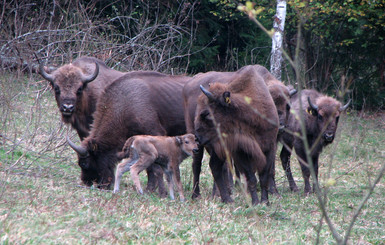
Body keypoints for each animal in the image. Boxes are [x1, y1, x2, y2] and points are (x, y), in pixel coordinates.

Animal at [183, 64, 294, 199]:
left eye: (288, 106)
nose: (281, 126)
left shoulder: (270, 145)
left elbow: (267, 172)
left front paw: (271, 194)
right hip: (199, 143)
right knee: (197, 164)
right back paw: (197, 194)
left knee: (218, 166)